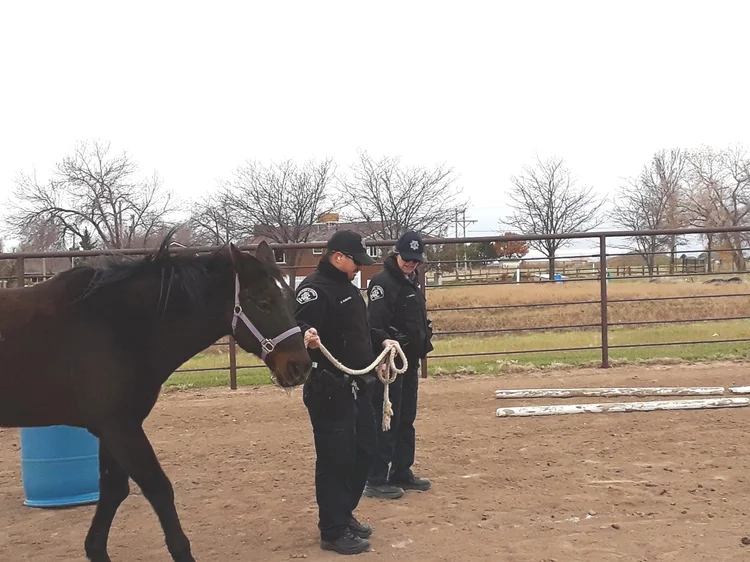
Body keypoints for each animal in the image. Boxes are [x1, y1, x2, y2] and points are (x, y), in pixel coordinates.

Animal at [0, 231, 312, 561]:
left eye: (290, 299)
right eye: (263, 302)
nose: (300, 367)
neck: (115, 324)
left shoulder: (115, 429)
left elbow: (114, 490)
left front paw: (95, 548)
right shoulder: (119, 429)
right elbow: (159, 489)